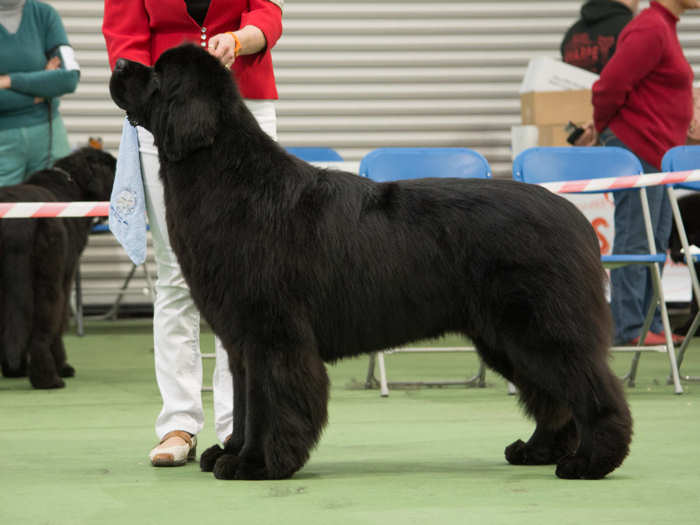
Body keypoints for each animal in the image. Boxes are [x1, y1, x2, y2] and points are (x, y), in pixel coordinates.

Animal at [0, 145, 116, 386]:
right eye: (114, 168)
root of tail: (16, 222)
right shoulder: (66, 277)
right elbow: (60, 324)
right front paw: (63, 366)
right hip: (48, 282)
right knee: (42, 332)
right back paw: (49, 379)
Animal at [110, 44, 636, 478]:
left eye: (157, 73)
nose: (118, 63)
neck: (225, 174)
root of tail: (574, 216)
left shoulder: (271, 335)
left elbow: (268, 402)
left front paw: (254, 464)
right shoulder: (240, 340)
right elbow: (243, 401)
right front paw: (231, 451)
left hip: (541, 328)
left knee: (590, 388)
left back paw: (591, 462)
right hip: (504, 337)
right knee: (551, 397)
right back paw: (537, 450)